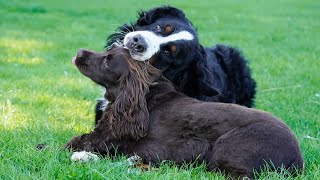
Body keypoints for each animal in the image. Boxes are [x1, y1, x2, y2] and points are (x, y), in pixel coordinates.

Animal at [65, 45, 302, 178]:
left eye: (107, 61)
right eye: (108, 50)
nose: (79, 53)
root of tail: (297, 158)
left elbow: (73, 143)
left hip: (226, 148)